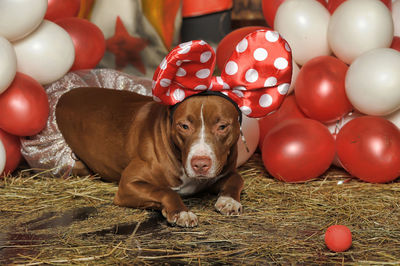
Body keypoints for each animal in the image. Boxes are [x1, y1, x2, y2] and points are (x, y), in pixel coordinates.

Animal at [55, 87, 244, 227]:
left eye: (222, 126)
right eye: (184, 126)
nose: (200, 164)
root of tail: (64, 96)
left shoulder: (222, 172)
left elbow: (237, 178)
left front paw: (229, 201)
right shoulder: (128, 185)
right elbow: (165, 191)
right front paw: (181, 212)